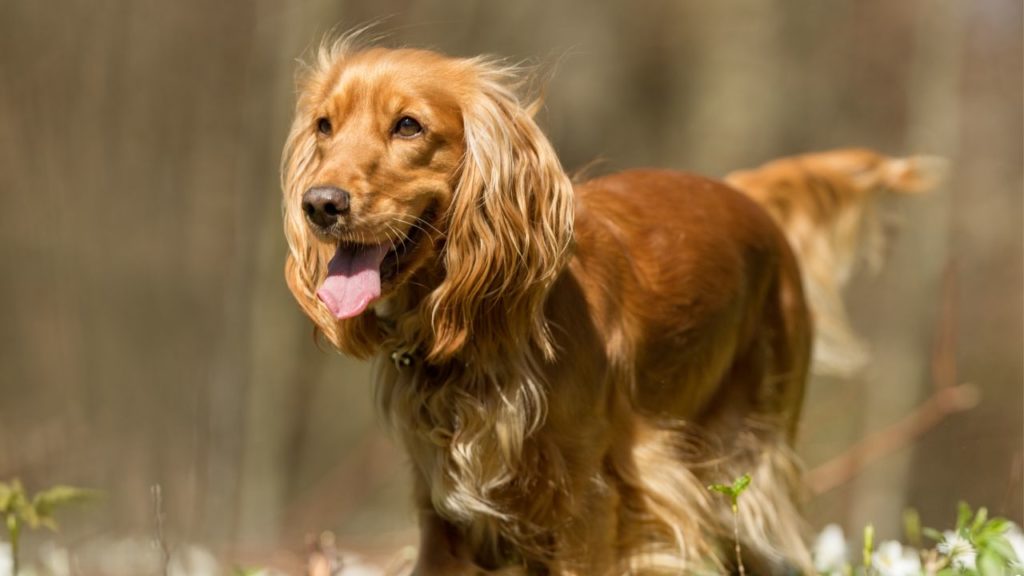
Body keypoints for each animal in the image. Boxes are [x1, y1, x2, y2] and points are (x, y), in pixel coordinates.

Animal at [280, 38, 929, 569]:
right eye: (324, 126)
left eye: (409, 126)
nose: (320, 204)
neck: (480, 336)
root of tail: (744, 192)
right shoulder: (445, 514)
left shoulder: (588, 503)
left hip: (744, 466)